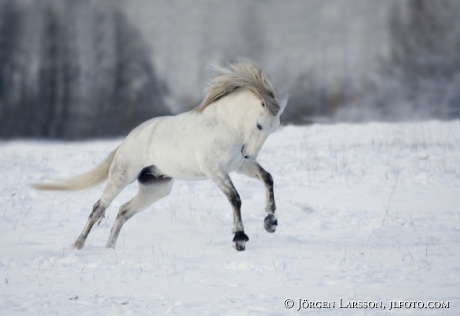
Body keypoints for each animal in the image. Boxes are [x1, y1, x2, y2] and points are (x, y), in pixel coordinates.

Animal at [30, 59, 286, 252]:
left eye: (273, 129)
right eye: (259, 125)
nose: (248, 153)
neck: (224, 125)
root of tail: (127, 140)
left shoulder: (239, 166)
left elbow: (267, 178)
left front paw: (271, 222)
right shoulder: (215, 170)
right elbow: (235, 198)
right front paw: (240, 238)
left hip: (156, 188)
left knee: (123, 211)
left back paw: (109, 248)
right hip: (121, 177)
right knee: (99, 208)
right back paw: (78, 245)